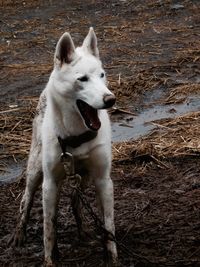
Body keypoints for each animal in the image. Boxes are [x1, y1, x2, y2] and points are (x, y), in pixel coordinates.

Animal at [12, 28, 117, 266]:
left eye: (102, 75)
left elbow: (108, 225)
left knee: (75, 200)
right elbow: (49, 229)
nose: (110, 99)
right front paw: (50, 259)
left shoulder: (103, 180)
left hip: (84, 176)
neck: (76, 136)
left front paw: (111, 257)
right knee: (26, 200)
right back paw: (19, 234)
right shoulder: (50, 183)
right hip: (36, 170)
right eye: (82, 79)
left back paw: (82, 228)